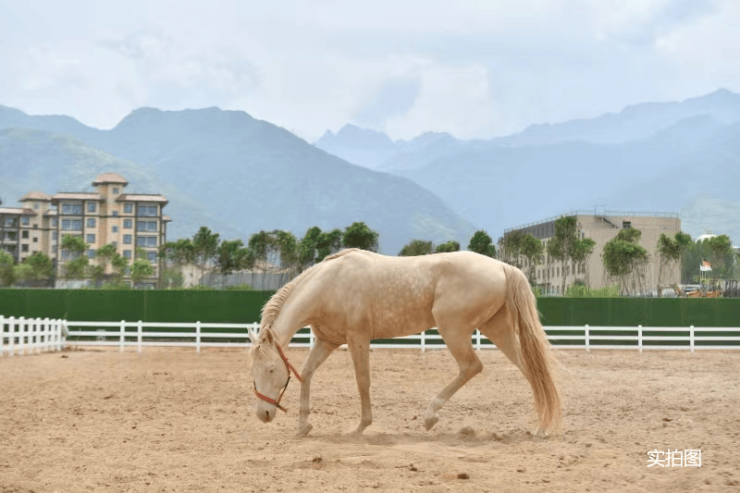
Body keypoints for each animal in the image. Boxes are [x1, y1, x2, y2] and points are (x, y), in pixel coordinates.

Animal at [248, 248, 561, 437]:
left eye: (271, 370)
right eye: (254, 373)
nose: (263, 414)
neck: (329, 284)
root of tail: (502, 267)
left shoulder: (357, 338)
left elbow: (362, 380)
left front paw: (360, 427)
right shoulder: (327, 341)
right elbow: (307, 373)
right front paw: (304, 425)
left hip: (453, 329)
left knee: (471, 366)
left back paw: (430, 416)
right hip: (496, 329)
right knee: (530, 370)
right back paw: (542, 427)